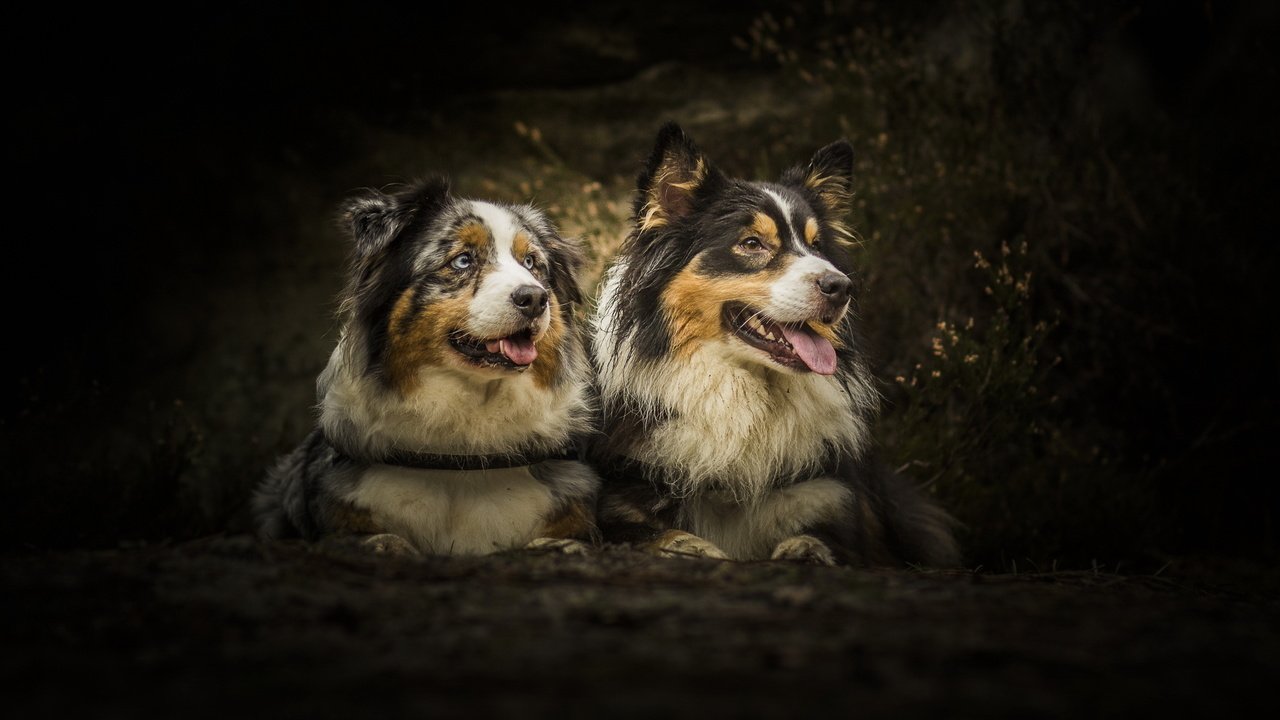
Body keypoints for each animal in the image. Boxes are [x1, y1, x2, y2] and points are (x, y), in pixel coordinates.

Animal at [588, 122, 962, 566]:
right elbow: (646, 533)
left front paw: (804, 550)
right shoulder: (620, 499)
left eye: (817, 246)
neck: (748, 391)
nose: (842, 287)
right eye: (752, 244)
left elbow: (825, 539)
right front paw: (689, 546)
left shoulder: (833, 499)